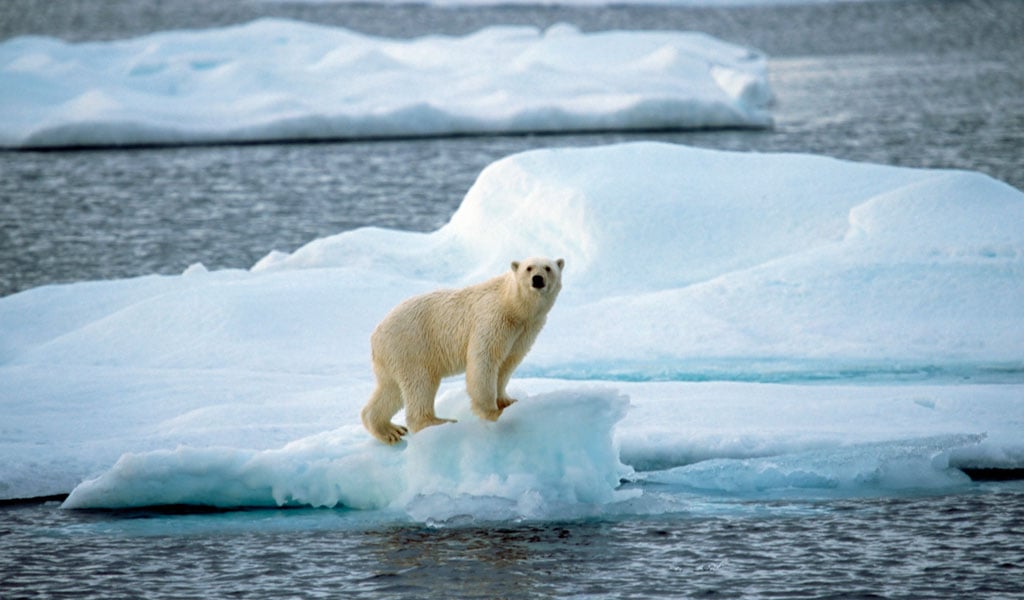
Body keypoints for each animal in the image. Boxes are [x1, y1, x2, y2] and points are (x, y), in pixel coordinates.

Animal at [362, 254, 569, 442]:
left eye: (548, 268)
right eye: (529, 268)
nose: (537, 279)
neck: (513, 305)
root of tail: (376, 335)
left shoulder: (525, 330)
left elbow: (508, 363)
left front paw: (507, 400)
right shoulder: (494, 318)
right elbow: (485, 359)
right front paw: (492, 412)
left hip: (393, 355)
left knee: (391, 389)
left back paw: (389, 430)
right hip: (412, 345)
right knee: (420, 383)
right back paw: (438, 422)